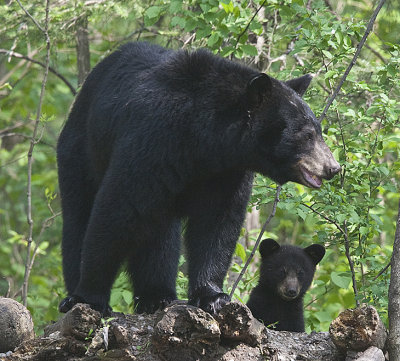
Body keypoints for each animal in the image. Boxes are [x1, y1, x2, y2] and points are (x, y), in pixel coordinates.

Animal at [57, 40, 340, 314]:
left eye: (318, 130)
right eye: (307, 135)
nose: (333, 167)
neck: (202, 141)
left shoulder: (225, 172)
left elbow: (216, 223)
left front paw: (212, 296)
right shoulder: (151, 143)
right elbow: (117, 210)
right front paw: (90, 298)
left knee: (160, 235)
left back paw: (156, 296)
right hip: (80, 150)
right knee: (79, 215)